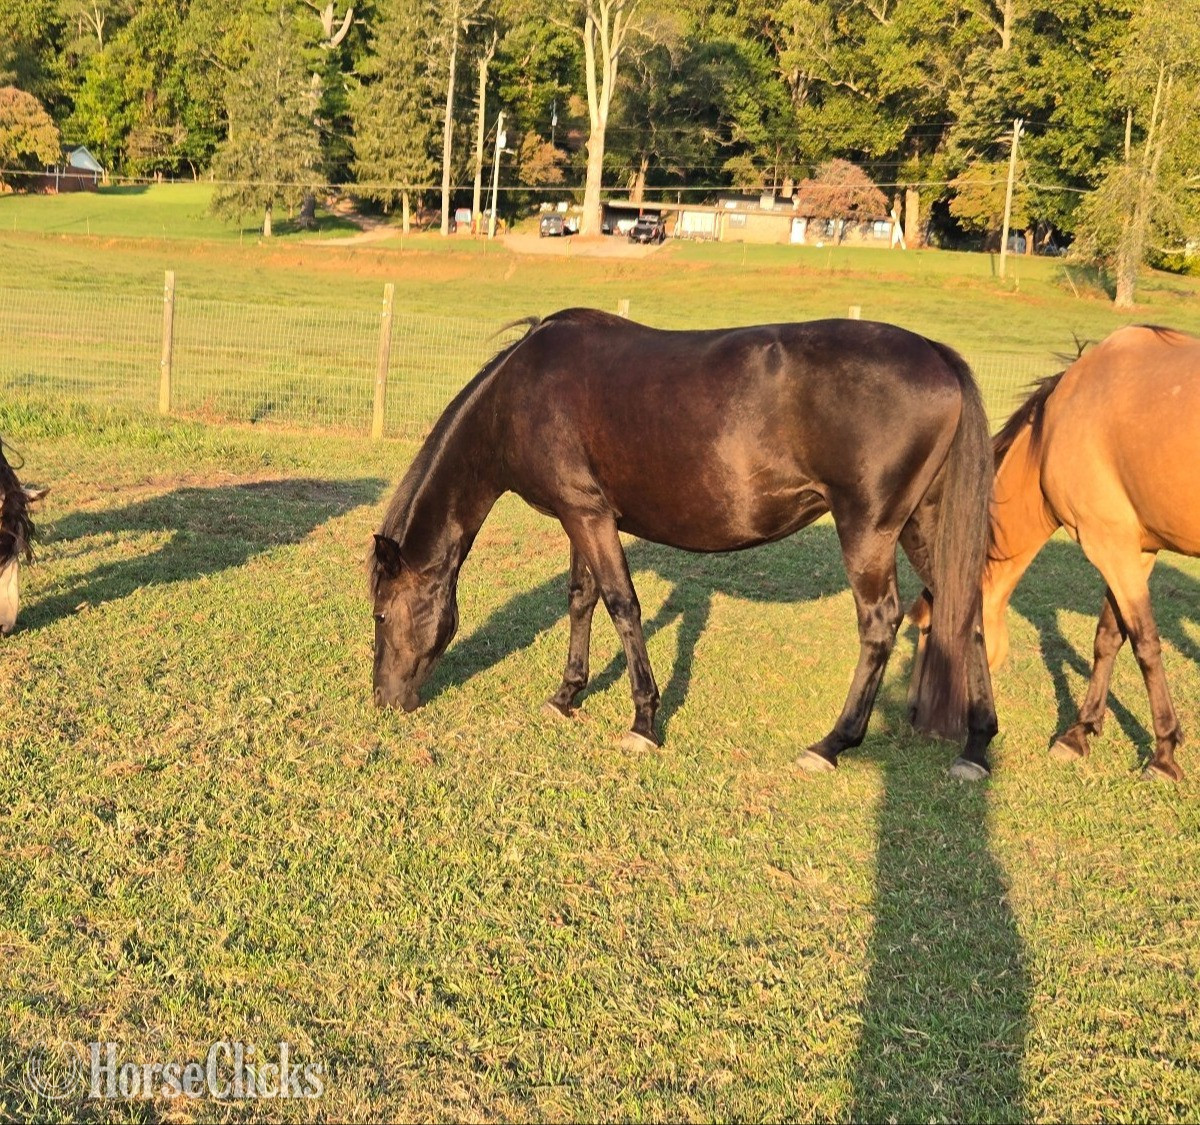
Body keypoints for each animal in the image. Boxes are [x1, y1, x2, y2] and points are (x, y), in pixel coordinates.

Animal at [369, 308, 998, 779]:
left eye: (379, 614)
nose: (384, 700)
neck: (516, 396)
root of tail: (936, 354)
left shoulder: (589, 517)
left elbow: (622, 606)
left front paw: (643, 724)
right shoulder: (581, 515)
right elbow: (581, 600)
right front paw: (567, 696)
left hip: (869, 530)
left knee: (880, 623)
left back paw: (832, 744)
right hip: (924, 526)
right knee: (966, 611)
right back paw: (977, 745)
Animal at [909, 324, 1200, 781]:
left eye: (926, 629)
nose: (914, 716)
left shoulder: (1110, 546)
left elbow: (1145, 645)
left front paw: (1165, 754)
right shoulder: (1131, 549)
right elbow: (1108, 638)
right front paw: (1078, 734)